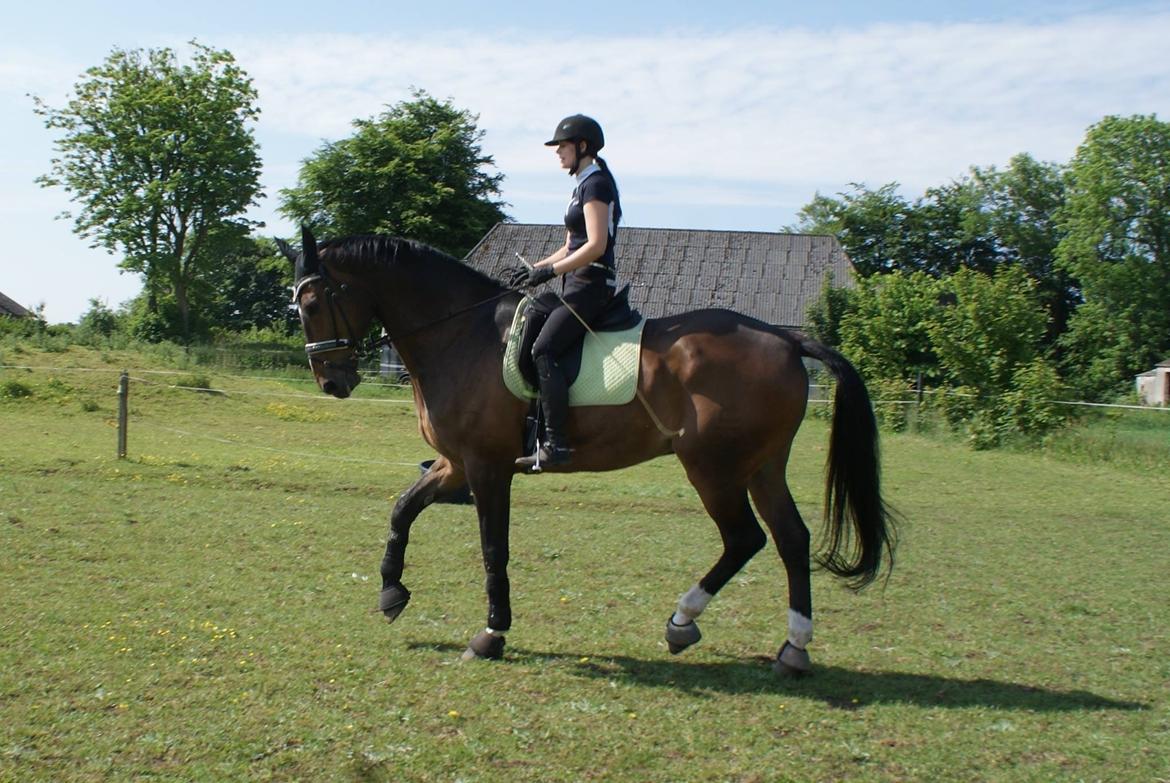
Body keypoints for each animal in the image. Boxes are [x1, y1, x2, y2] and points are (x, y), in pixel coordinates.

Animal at [280, 224, 893, 674]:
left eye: (311, 302)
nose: (332, 381)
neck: (460, 334)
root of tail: (785, 336)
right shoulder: (455, 464)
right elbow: (402, 509)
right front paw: (391, 592)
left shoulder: (486, 467)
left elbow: (493, 549)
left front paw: (491, 633)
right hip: (762, 466)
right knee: (791, 539)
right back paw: (793, 648)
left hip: (713, 468)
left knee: (745, 538)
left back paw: (682, 622)